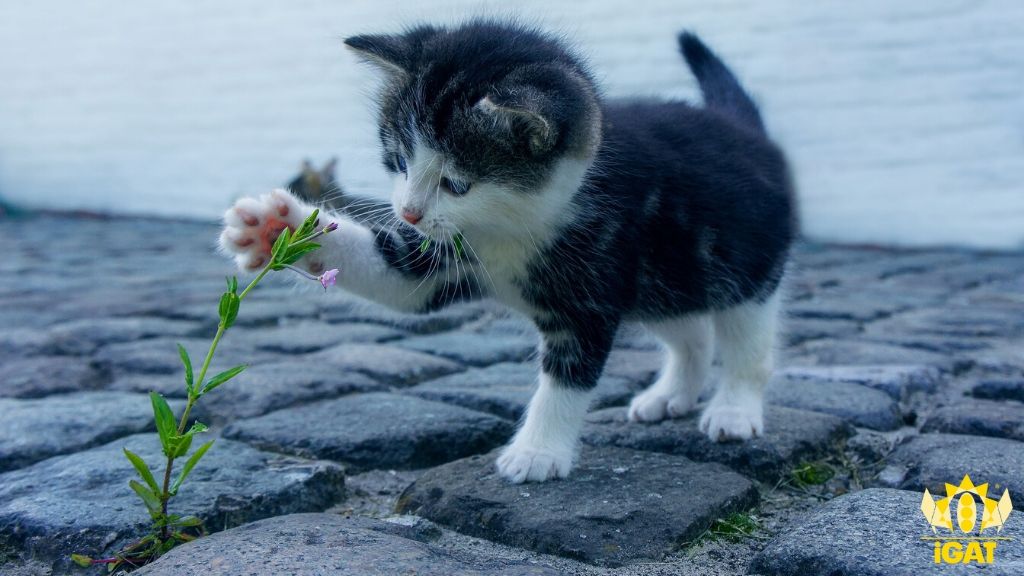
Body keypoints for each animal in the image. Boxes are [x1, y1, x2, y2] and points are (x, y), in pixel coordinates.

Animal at [220, 20, 794, 481]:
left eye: (456, 183)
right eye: (399, 161)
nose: (408, 212)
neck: (510, 225)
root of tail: (746, 130)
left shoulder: (592, 286)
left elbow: (567, 378)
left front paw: (538, 452)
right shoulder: (443, 256)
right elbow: (398, 278)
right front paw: (277, 227)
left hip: (744, 266)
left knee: (746, 341)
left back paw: (734, 409)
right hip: (664, 278)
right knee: (690, 330)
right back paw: (672, 394)